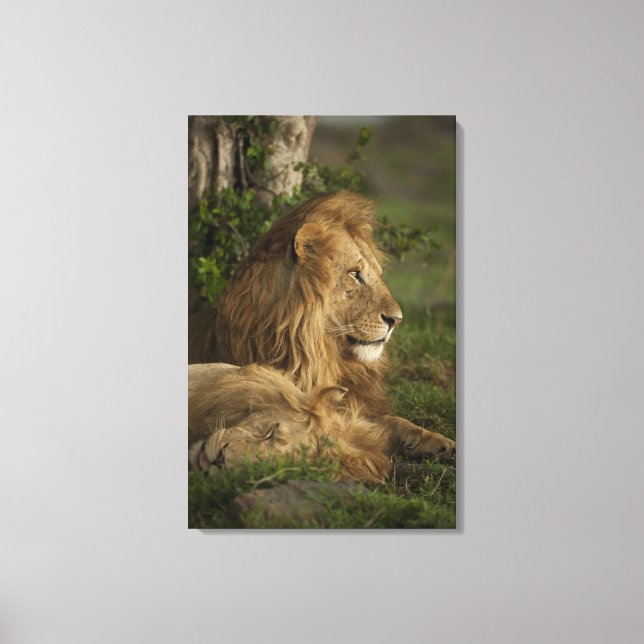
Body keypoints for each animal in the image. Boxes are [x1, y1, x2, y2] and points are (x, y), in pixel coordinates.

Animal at [189, 190, 455, 460]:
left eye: (378, 275)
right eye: (354, 274)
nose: (397, 319)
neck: (323, 357)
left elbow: (395, 421)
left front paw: (439, 442)